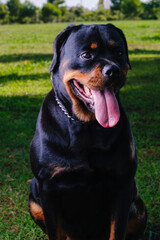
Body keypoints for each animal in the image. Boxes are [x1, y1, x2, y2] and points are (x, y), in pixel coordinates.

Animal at [28, 23, 146, 240]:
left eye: (118, 52)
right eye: (86, 55)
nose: (113, 70)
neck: (85, 125)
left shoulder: (123, 184)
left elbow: (117, 231)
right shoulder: (48, 188)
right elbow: (54, 231)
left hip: (138, 208)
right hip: (33, 193)